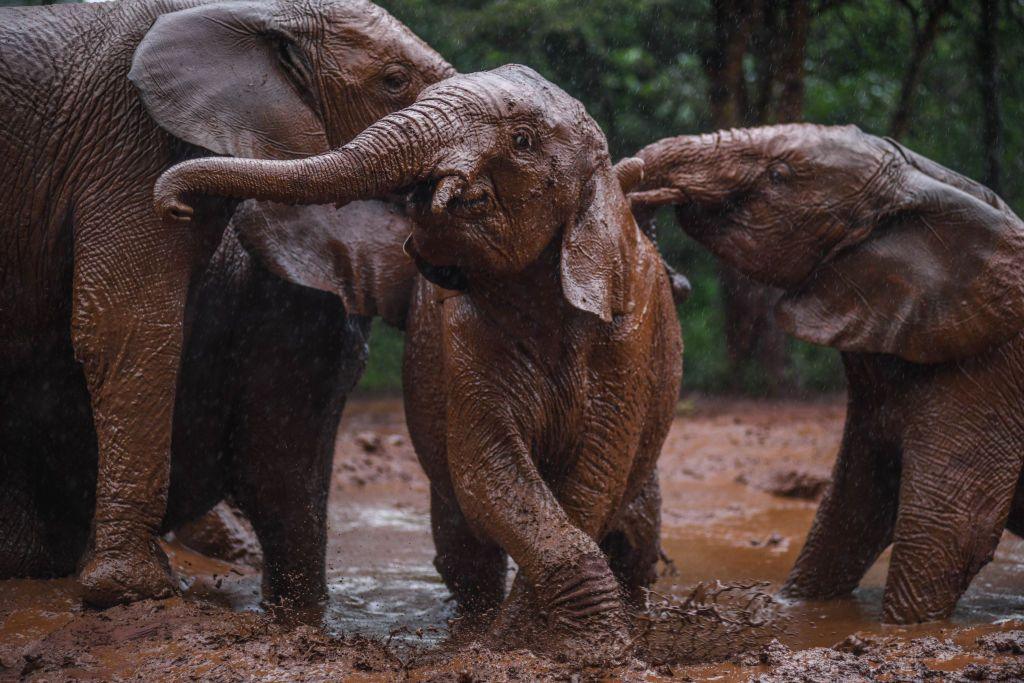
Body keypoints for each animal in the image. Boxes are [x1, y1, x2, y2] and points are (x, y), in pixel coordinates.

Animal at [0, 0, 448, 610]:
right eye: (394, 82)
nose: (175, 202)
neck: (249, 12)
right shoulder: (127, 143)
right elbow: (127, 322)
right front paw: (136, 591)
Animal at [151, 65, 684, 663]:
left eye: (522, 141)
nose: (174, 205)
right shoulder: (466, 333)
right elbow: (489, 469)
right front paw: (530, 642)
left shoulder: (627, 342)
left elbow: (591, 480)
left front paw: (587, 647)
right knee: (465, 550)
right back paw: (476, 621)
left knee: (633, 540)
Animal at [626, 122, 1024, 626]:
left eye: (779, 175)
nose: (678, 282)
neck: (924, 180)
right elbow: (850, 510)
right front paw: (797, 610)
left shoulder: (984, 372)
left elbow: (949, 526)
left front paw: (900, 630)